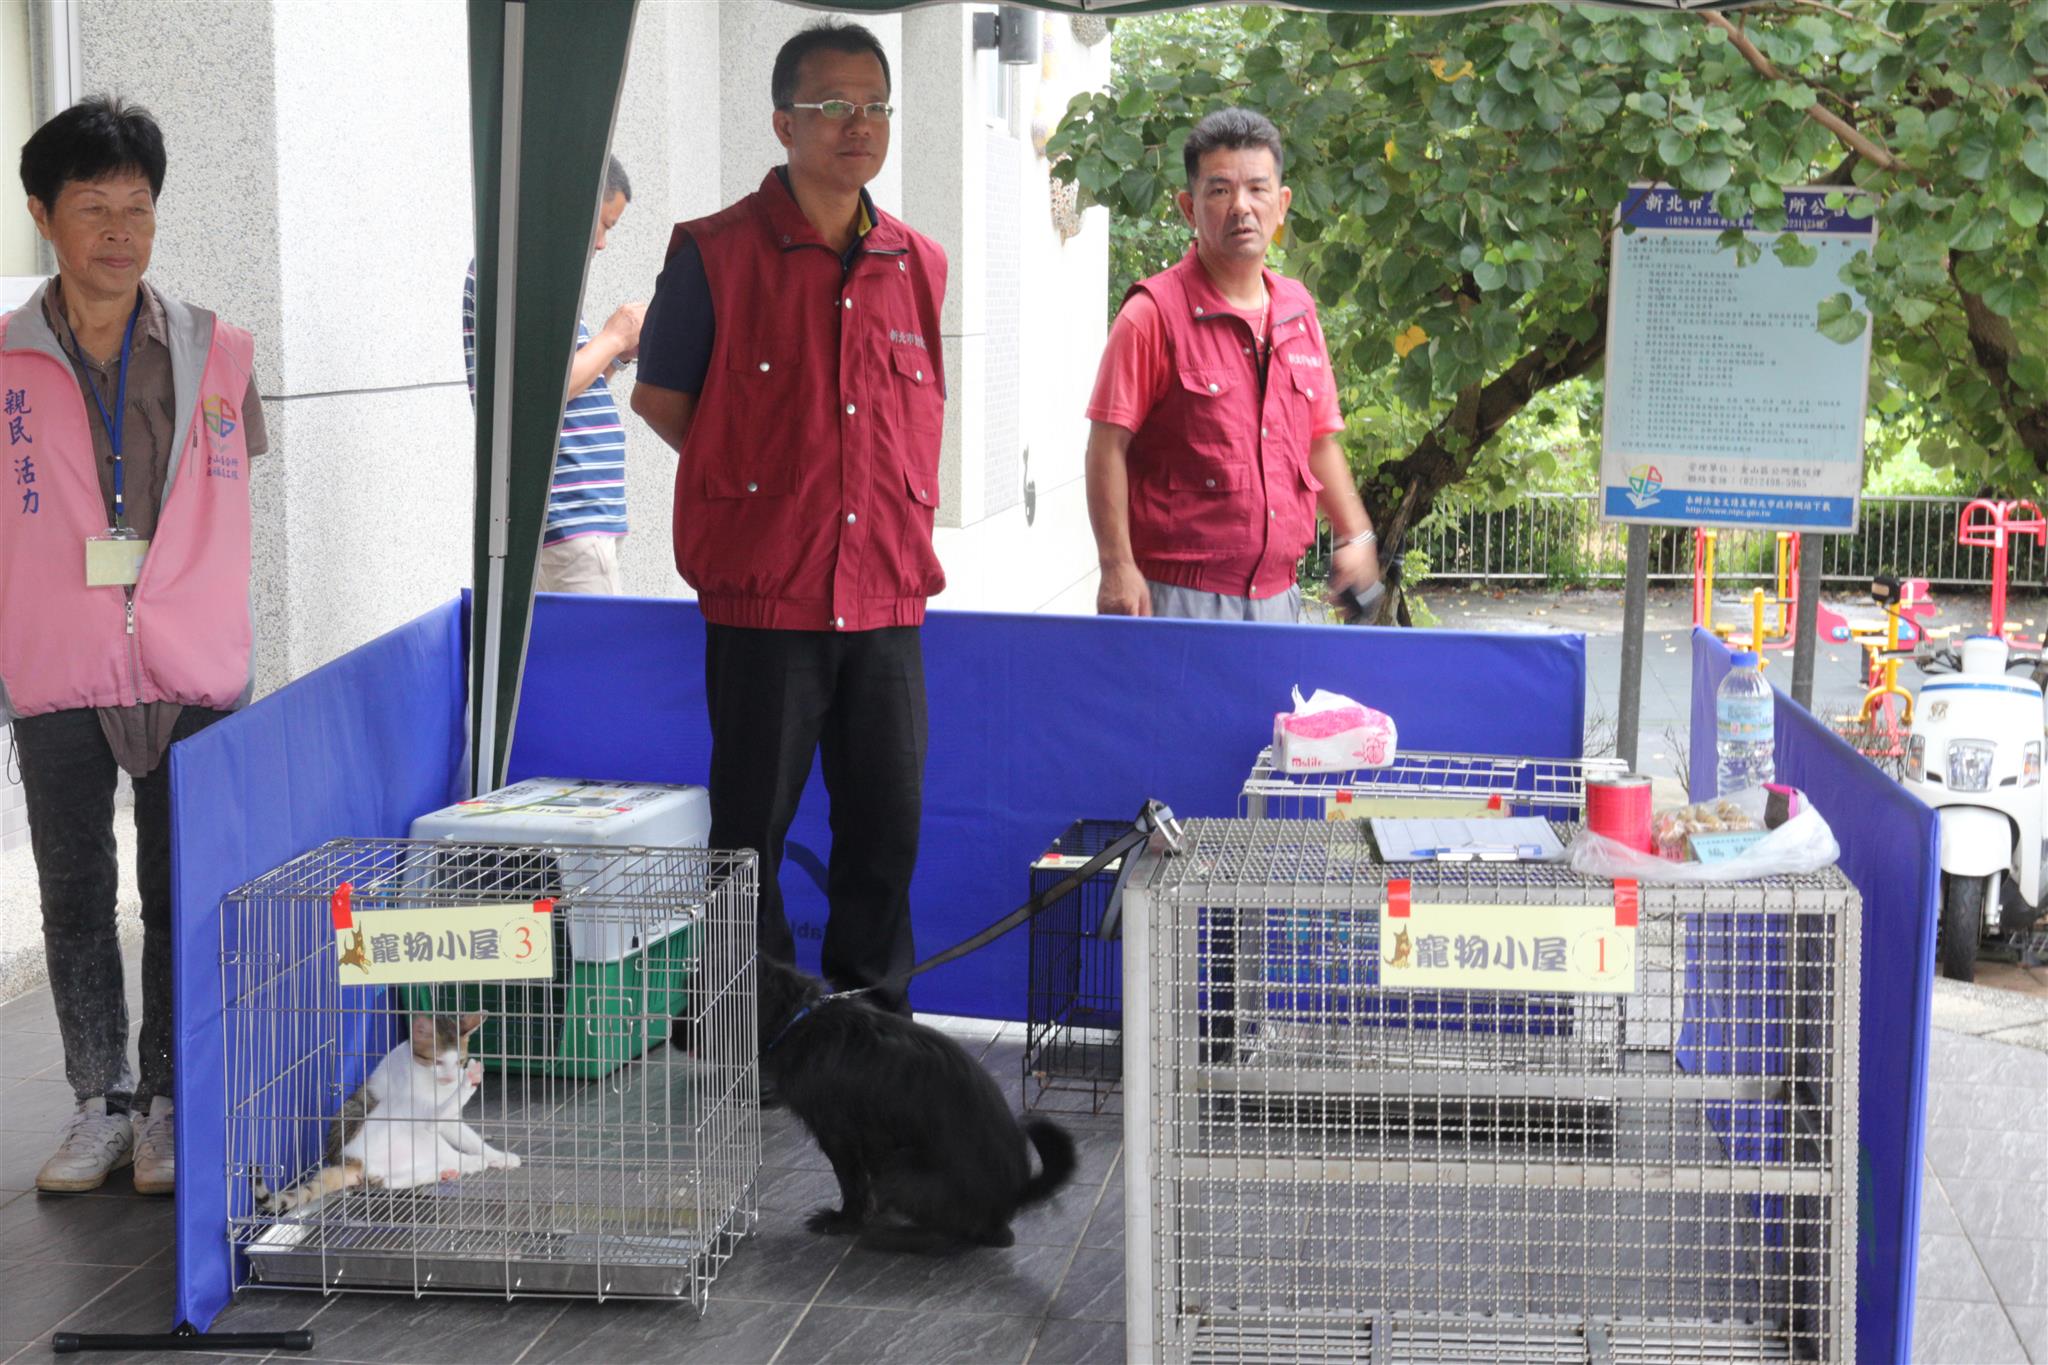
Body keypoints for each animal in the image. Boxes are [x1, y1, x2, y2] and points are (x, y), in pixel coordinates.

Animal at [251, 1010, 520, 1211]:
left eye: (460, 1061)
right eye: (438, 1062)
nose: (453, 1078)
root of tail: (349, 1162)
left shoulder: (450, 1122)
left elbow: (470, 1139)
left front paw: (499, 1156)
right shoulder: (426, 1113)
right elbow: (440, 1115)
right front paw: (469, 1080)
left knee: (389, 1181)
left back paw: (451, 1170)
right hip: (397, 1120)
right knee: (434, 1150)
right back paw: (471, 1162)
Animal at [749, 957, 1073, 1252]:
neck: (798, 1017)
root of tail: (1013, 1196)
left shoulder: (838, 1136)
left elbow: (852, 1184)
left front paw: (843, 1221)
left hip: (899, 1166)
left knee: (970, 1237)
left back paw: (900, 1237)